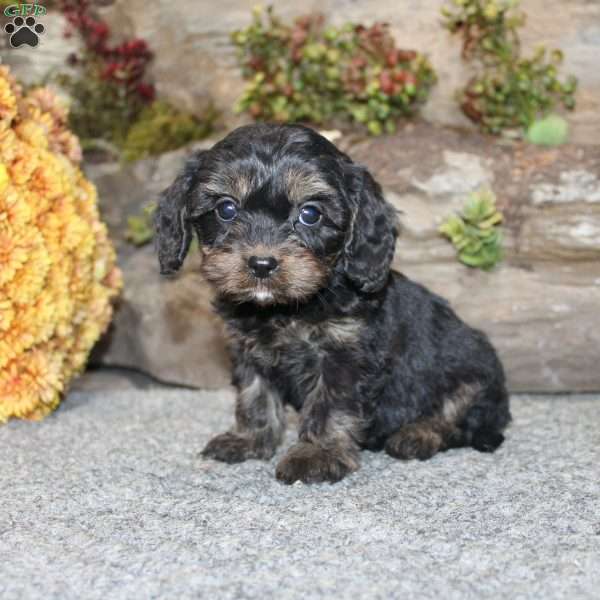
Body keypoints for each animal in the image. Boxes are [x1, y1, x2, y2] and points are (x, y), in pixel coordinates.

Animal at [156, 123, 510, 482]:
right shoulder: (248, 351)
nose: (261, 264)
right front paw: (249, 440)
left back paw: (418, 433)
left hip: (472, 373)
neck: (287, 309)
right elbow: (254, 396)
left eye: (310, 214)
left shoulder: (344, 354)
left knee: (458, 419)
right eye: (226, 209)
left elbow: (330, 404)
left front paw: (317, 453)